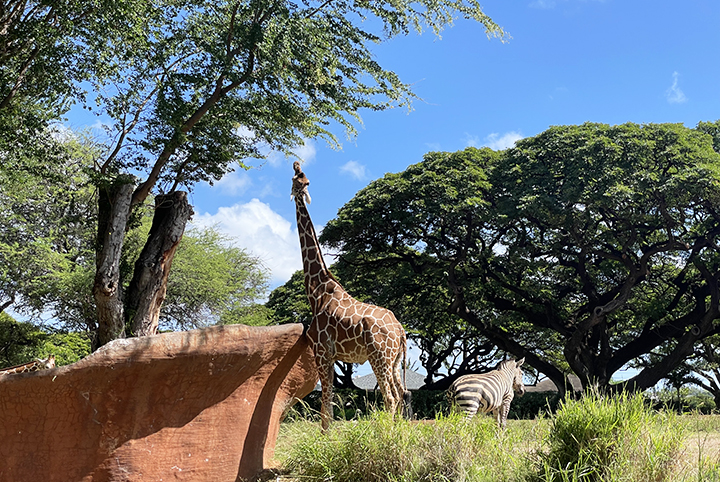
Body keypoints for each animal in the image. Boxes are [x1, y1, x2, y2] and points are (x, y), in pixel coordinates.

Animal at [292, 162, 408, 430]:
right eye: (299, 179)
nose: (300, 188)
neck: (317, 291)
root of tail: (400, 330)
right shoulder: (331, 355)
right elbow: (330, 402)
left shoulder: (322, 351)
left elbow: (325, 404)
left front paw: (326, 438)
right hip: (394, 360)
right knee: (401, 394)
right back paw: (399, 432)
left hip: (379, 357)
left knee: (389, 397)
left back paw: (386, 434)